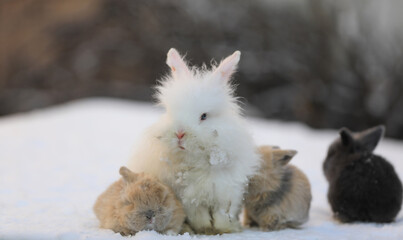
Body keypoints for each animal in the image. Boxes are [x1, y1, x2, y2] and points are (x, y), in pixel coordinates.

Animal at [129, 48, 262, 234]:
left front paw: (224, 229)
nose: (179, 134)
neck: (193, 158)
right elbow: (200, 217)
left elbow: (222, 215)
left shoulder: (226, 191)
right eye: (170, 112)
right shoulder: (190, 198)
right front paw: (205, 229)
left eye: (204, 116)